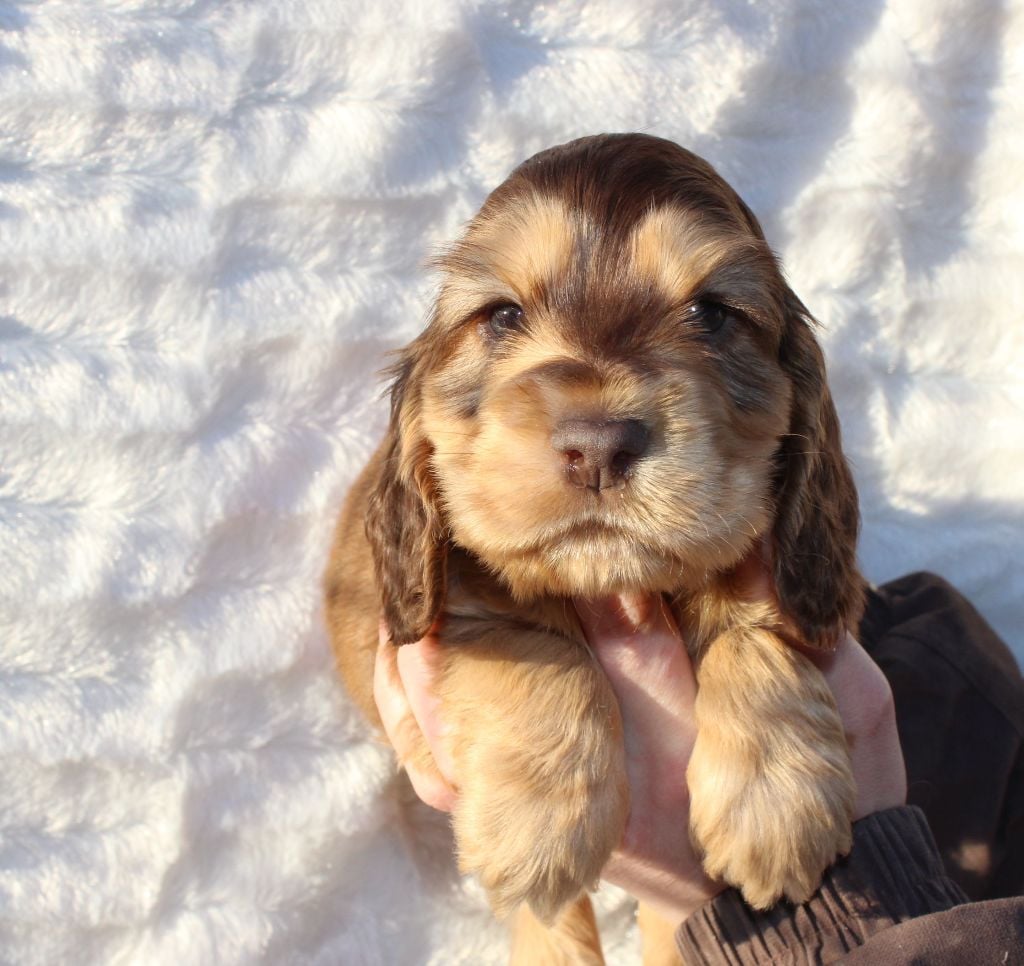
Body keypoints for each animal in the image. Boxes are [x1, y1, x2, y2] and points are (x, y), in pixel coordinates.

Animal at [324, 133, 863, 962]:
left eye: (713, 313)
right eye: (501, 315)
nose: (597, 445)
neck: (618, 586)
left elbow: (758, 628)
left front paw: (777, 808)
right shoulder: (449, 606)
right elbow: (535, 644)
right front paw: (539, 826)